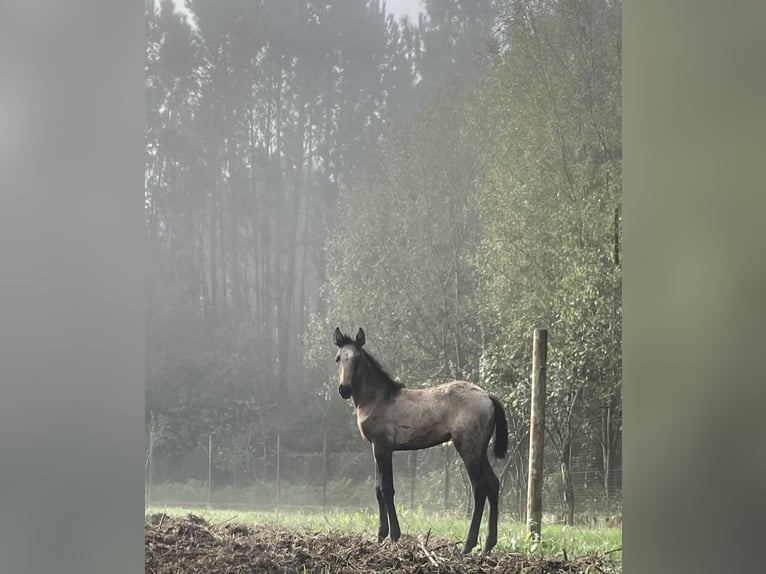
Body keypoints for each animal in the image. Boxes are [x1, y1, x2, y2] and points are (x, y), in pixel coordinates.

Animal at [332, 326, 508, 556]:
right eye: (338, 358)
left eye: (358, 358)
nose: (344, 389)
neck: (378, 399)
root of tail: (488, 396)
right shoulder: (375, 449)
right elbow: (378, 489)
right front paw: (380, 535)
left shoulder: (383, 447)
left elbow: (387, 488)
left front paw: (394, 535)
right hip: (480, 450)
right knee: (493, 485)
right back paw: (488, 545)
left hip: (468, 449)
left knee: (479, 489)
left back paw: (468, 546)